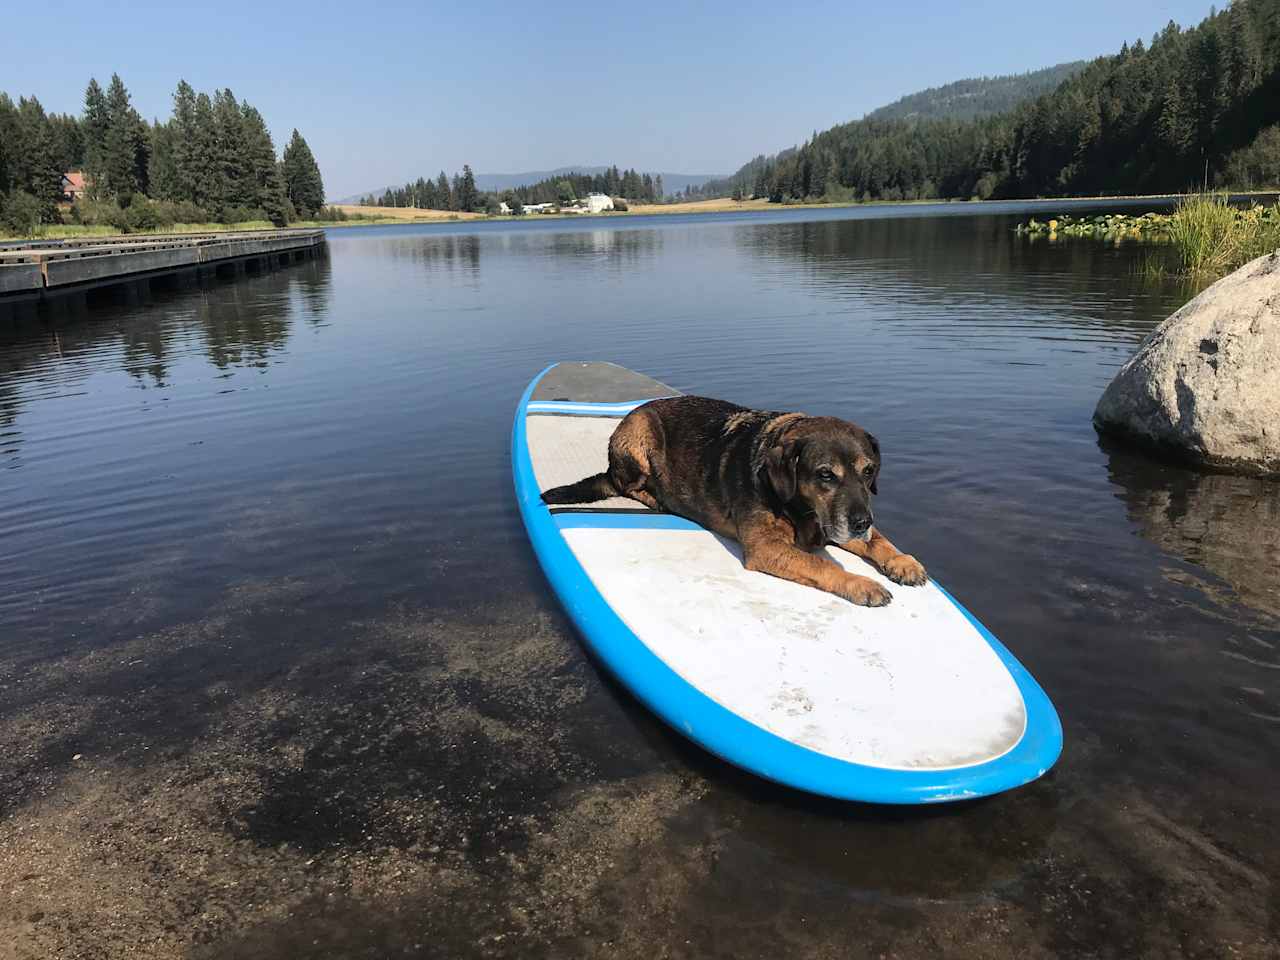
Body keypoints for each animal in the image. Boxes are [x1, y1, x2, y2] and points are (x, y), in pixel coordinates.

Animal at [542, 399, 931, 609]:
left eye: (869, 471)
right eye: (826, 475)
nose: (862, 522)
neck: (794, 503)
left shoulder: (835, 523)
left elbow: (880, 541)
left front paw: (902, 561)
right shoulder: (767, 548)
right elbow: (822, 565)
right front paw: (862, 584)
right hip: (637, 439)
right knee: (628, 484)